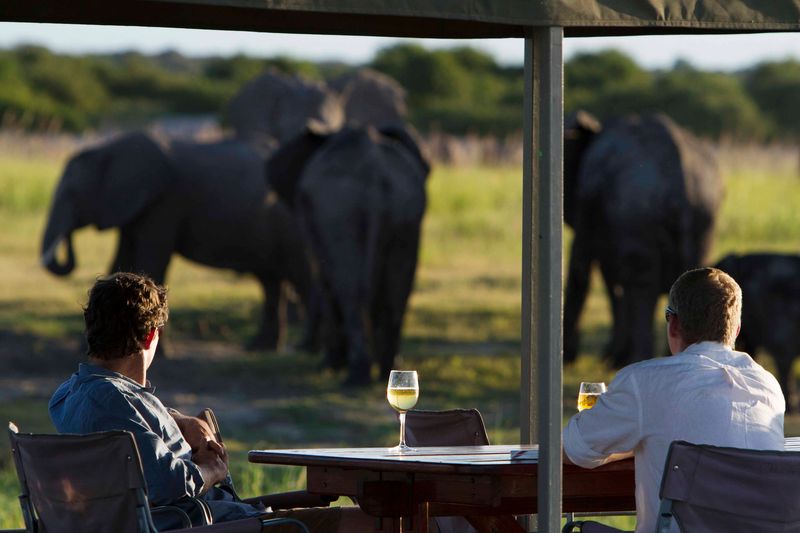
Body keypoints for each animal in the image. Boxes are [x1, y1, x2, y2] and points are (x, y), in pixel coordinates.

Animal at [41, 131, 310, 350]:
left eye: (73, 195)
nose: (66, 239)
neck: (107, 148)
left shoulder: (164, 203)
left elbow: (152, 261)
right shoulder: (134, 208)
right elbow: (121, 262)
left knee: (302, 279)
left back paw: (304, 349)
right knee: (270, 281)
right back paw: (260, 348)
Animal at [266, 125, 430, 385]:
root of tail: (375, 172)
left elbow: (324, 279)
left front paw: (329, 365)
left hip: (339, 212)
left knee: (350, 288)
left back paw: (356, 376)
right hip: (406, 212)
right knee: (399, 287)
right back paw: (388, 370)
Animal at [563, 111, 724, 368]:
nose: (570, 356)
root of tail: (681, 180)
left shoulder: (588, 197)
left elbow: (583, 268)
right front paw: (613, 356)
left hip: (636, 210)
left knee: (639, 281)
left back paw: (638, 359)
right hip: (705, 216)